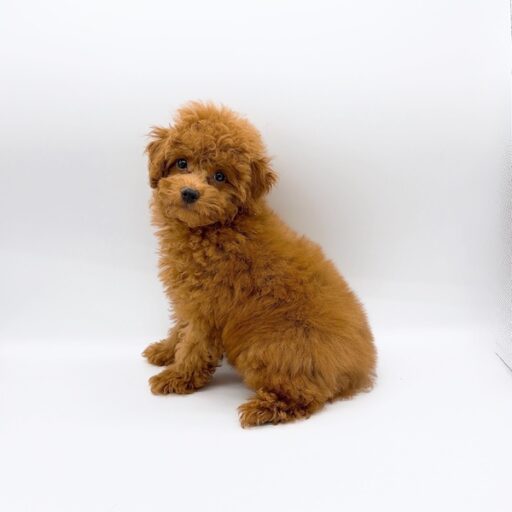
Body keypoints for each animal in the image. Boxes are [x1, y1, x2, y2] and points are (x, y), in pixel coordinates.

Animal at [143, 102, 376, 427]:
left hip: (270, 348)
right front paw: (165, 351)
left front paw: (176, 376)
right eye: (181, 163)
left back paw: (263, 409)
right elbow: (180, 328)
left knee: (306, 396)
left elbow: (193, 345)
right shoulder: (191, 298)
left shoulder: (210, 309)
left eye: (219, 176)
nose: (189, 193)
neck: (219, 226)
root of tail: (357, 370)